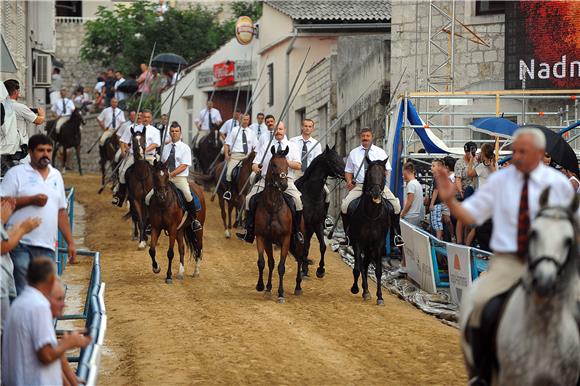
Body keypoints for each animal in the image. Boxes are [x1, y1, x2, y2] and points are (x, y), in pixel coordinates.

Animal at [255, 146, 306, 304]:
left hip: (298, 242)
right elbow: (264, 262)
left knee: (300, 259)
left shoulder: (285, 239)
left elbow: (281, 267)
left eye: (287, 165)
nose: (283, 185)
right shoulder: (263, 237)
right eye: (274, 165)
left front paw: (281, 294)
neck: (273, 207)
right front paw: (263, 287)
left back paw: (298, 287)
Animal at [294, 143, 344, 276]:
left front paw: (320, 269)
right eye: (332, 161)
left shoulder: (317, 223)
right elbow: (304, 246)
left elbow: (322, 246)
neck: (312, 195)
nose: (348, 177)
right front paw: (304, 268)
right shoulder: (305, 224)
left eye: (341, 159)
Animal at [344, 157, 394, 304]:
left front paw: (380, 296)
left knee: (366, 265)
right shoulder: (358, 242)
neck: (372, 215)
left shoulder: (378, 244)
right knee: (361, 265)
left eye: (383, 175)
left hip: (369, 247)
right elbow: (357, 267)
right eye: (369, 174)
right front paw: (359, 290)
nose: (376, 193)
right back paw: (361, 289)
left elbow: (378, 271)